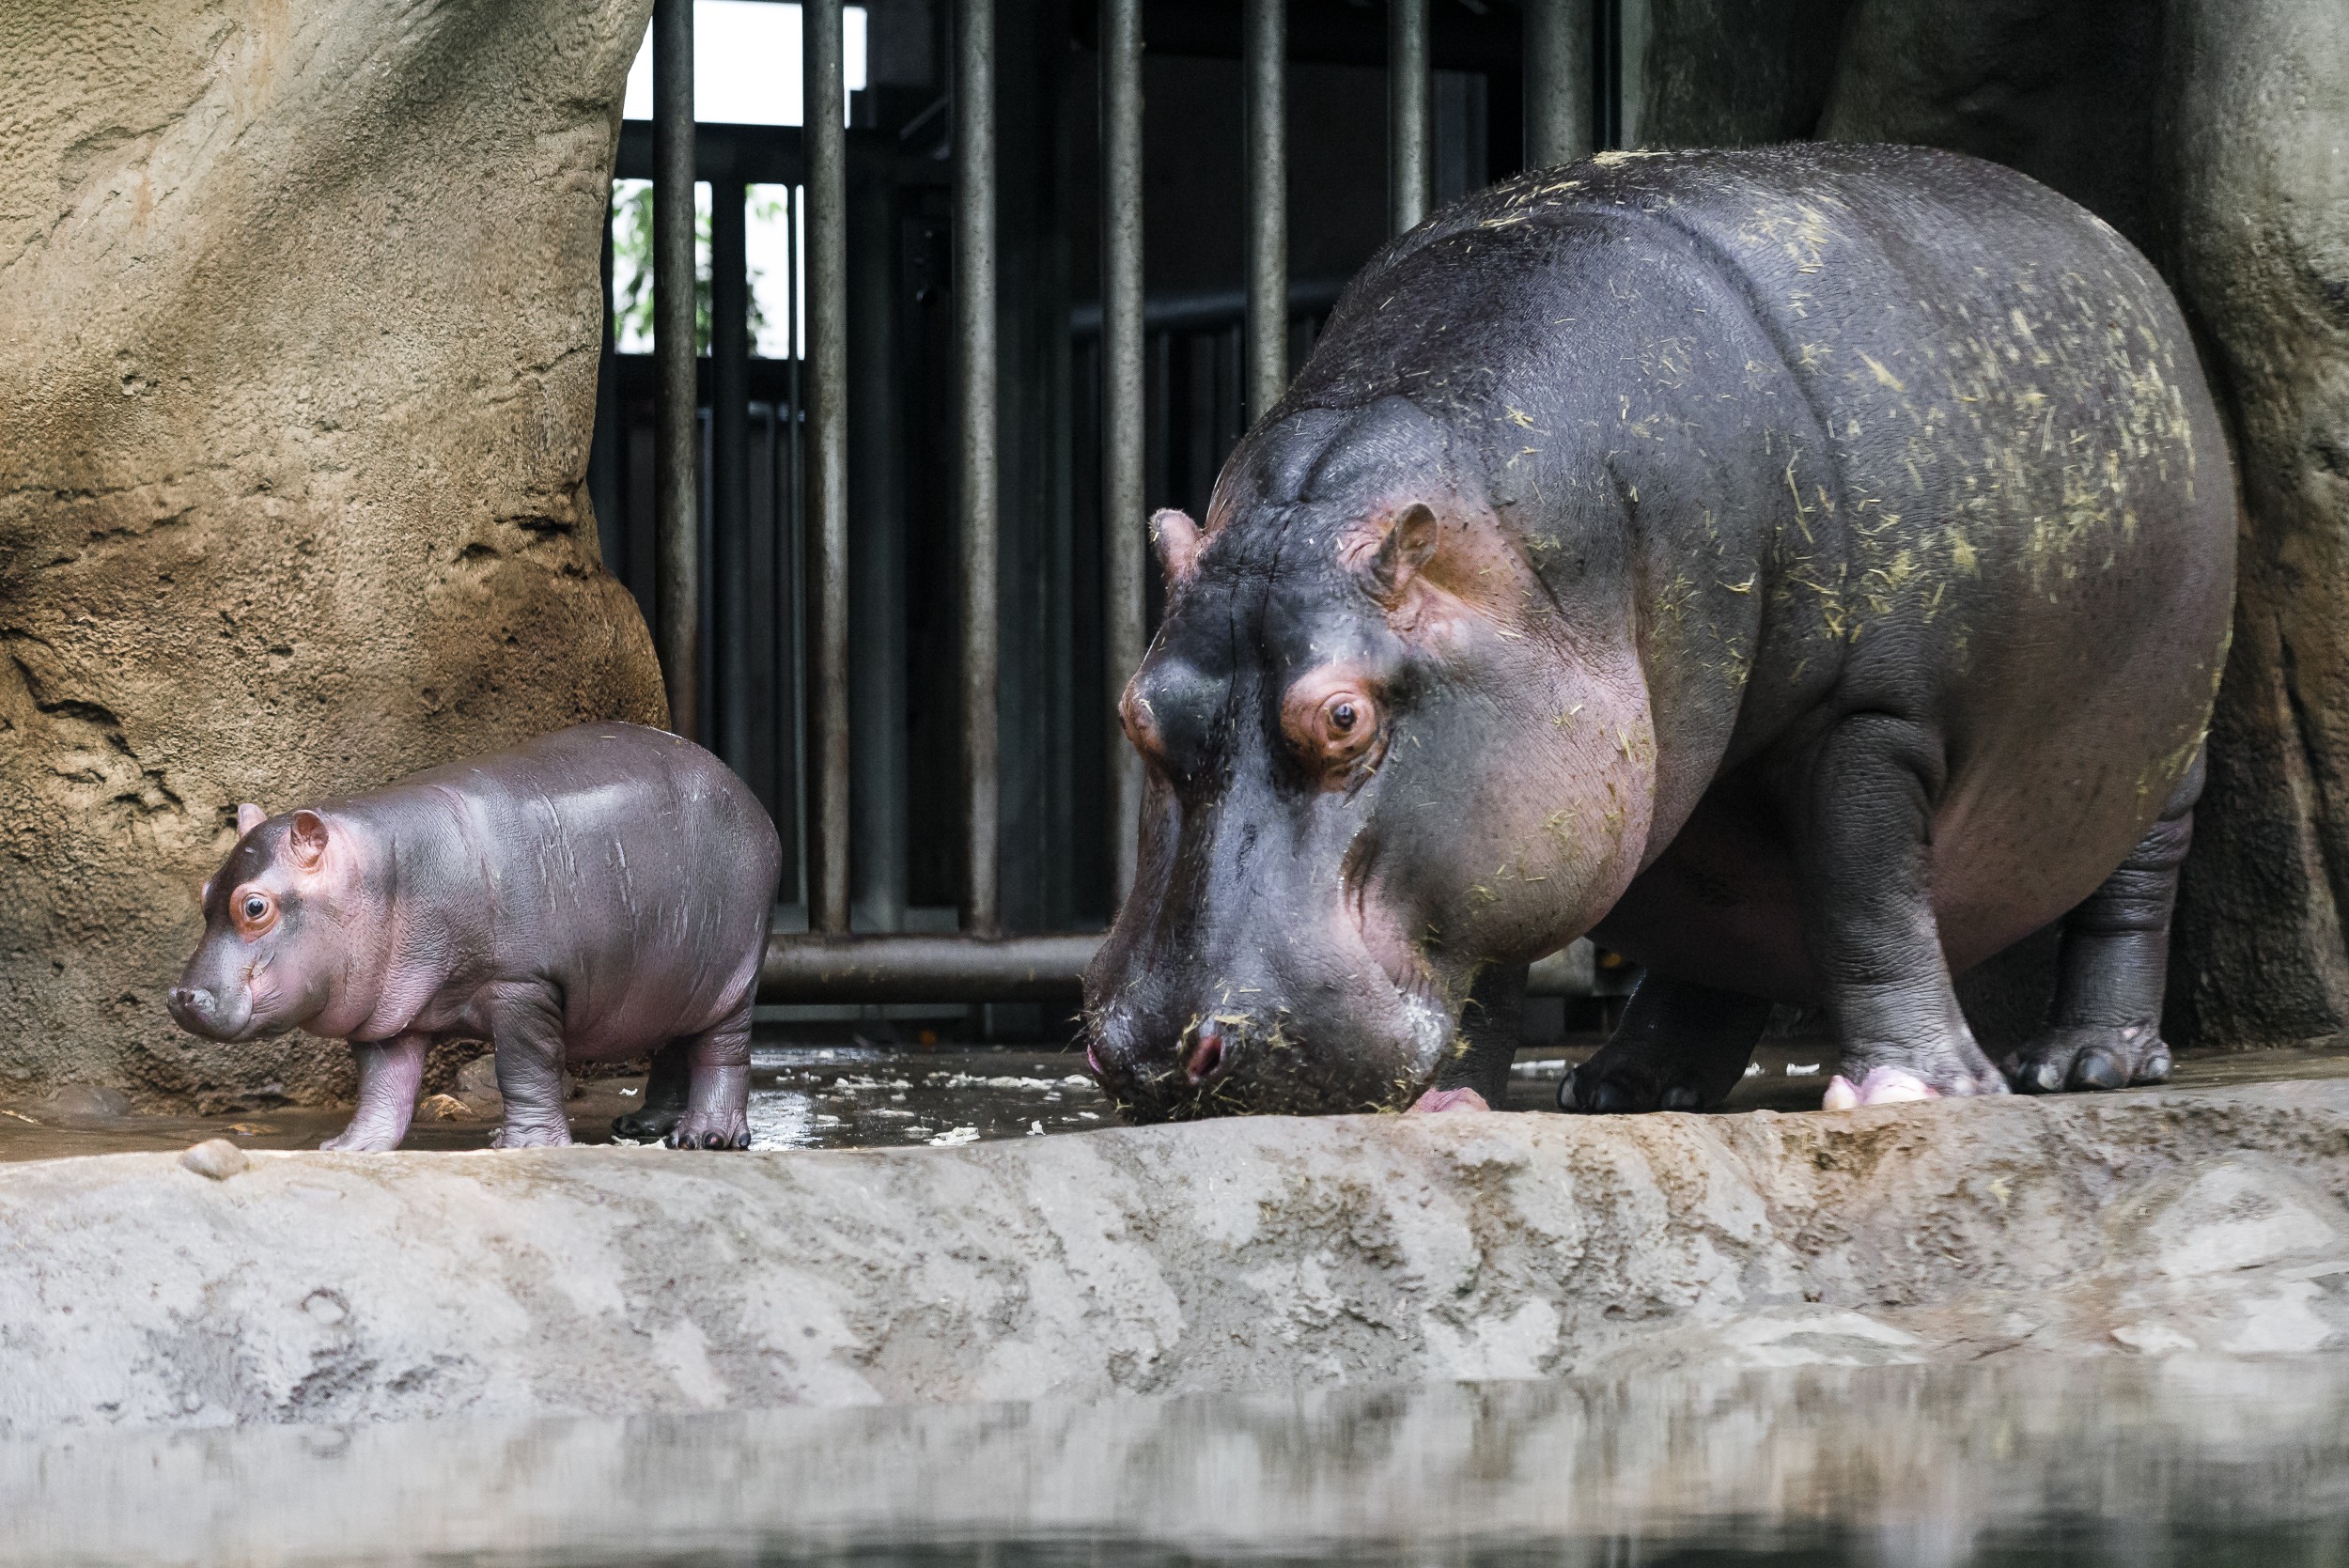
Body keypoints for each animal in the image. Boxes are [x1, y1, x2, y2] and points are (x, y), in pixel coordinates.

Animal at [170, 722, 789, 1150]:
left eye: (255, 906)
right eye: (204, 891)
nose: (181, 996)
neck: (387, 872)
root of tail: (744, 792)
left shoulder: (523, 986)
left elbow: (524, 1066)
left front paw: (522, 1146)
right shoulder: (389, 1010)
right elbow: (383, 1086)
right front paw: (347, 1147)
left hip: (733, 976)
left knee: (722, 1052)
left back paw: (706, 1137)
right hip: (670, 977)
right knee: (673, 1046)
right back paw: (643, 1126)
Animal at [1081, 144, 2236, 1112]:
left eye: (1342, 719)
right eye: (1136, 711)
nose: (1154, 1055)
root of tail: (2112, 241)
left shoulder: (1868, 715)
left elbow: (1866, 897)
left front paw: (1913, 1091)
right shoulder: (1521, 786)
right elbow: (1489, 942)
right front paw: (1450, 1106)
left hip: (2163, 745)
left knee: (2132, 887)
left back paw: (2083, 1061)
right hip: (1681, 787)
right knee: (1713, 922)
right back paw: (1627, 1084)